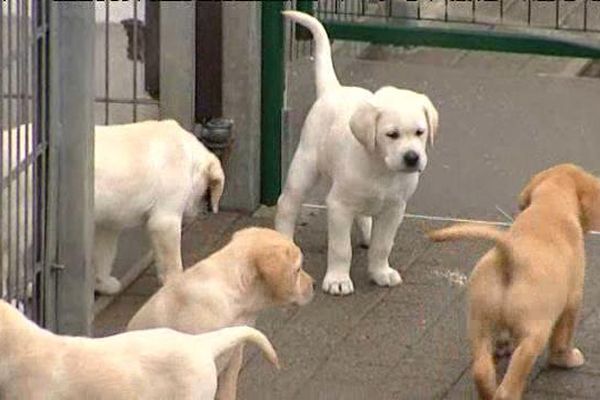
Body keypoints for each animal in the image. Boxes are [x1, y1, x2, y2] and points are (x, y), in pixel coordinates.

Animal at [94, 119, 225, 294]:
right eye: (206, 191)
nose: (200, 212)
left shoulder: (109, 220)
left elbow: (104, 251)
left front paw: (105, 284)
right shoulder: (165, 218)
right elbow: (172, 260)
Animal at [274, 10, 438, 296]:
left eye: (420, 132)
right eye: (391, 134)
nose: (412, 158)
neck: (381, 169)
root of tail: (333, 89)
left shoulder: (395, 208)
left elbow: (384, 244)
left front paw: (380, 271)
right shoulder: (338, 205)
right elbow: (341, 249)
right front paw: (338, 280)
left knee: (365, 215)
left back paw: (368, 234)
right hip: (305, 166)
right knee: (287, 205)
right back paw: (284, 239)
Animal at [426, 163, 600, 400]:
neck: (549, 206)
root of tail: (508, 257)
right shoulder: (573, 300)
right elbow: (563, 337)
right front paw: (566, 359)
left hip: (479, 323)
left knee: (481, 370)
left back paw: (488, 389)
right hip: (534, 333)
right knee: (509, 384)